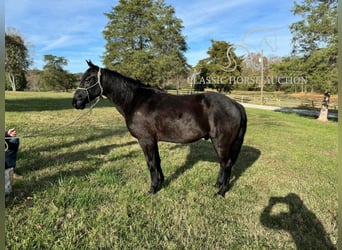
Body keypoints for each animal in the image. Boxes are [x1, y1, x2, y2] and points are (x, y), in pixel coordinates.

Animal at [73, 61, 246, 197]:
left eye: (89, 79)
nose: (76, 102)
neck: (135, 100)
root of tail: (236, 104)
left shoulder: (145, 140)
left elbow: (150, 163)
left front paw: (152, 189)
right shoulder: (153, 140)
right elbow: (157, 161)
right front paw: (161, 182)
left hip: (221, 142)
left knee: (226, 164)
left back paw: (221, 192)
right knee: (223, 164)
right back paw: (217, 185)